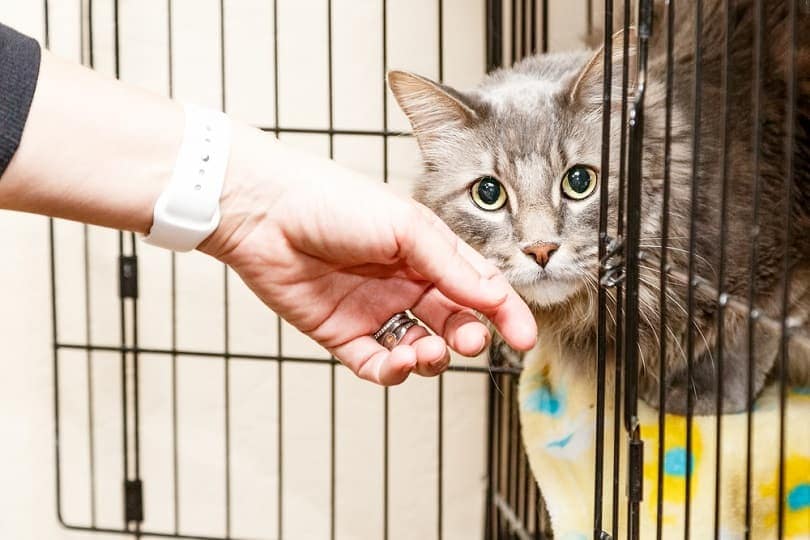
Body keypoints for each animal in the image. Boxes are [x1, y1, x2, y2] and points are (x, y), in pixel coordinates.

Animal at [386, 0, 808, 416]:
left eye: (579, 182)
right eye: (488, 193)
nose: (541, 250)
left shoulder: (776, 263)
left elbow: (747, 334)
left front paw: (700, 396)